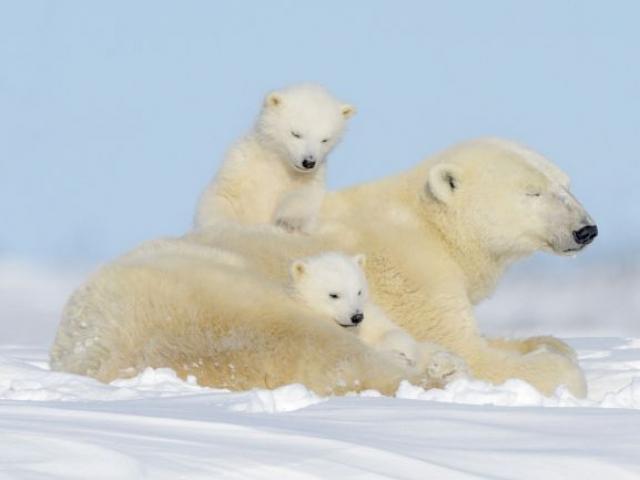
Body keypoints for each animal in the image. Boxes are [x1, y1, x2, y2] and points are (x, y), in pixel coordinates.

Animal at [195, 84, 356, 234]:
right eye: (296, 134)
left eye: (325, 139)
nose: (309, 162)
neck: (278, 162)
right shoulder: (241, 167)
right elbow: (223, 196)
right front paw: (224, 226)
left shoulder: (309, 178)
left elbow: (303, 197)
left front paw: (290, 222)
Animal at [288, 251, 468, 382]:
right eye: (334, 295)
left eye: (359, 291)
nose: (357, 317)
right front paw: (398, 359)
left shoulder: (371, 317)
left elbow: (394, 332)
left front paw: (406, 356)